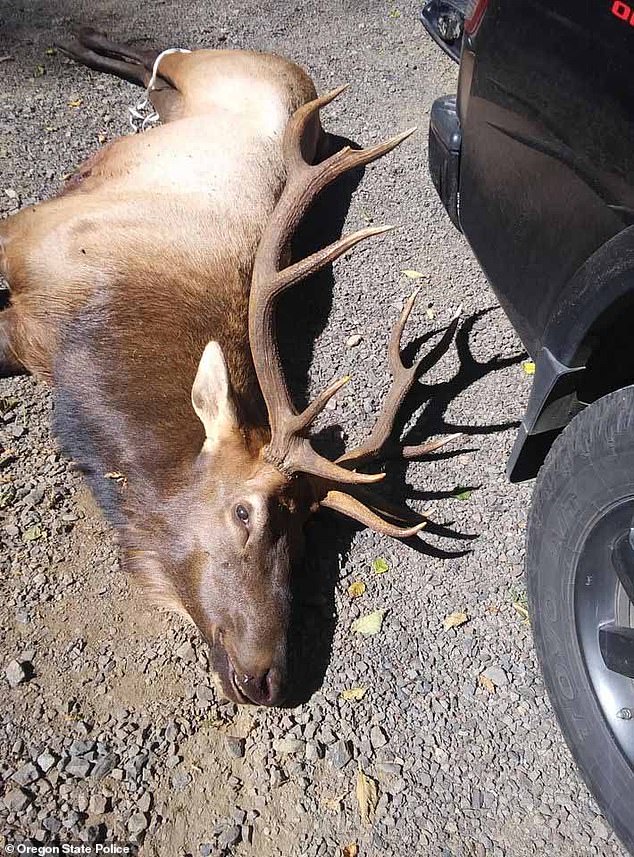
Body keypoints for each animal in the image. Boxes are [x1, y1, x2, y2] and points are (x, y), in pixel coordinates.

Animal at [0, 30, 454, 704]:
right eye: (246, 511)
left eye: (304, 538)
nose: (270, 678)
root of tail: (295, 74)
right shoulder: (23, 235)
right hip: (207, 66)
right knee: (161, 54)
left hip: (183, 94)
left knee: (151, 69)